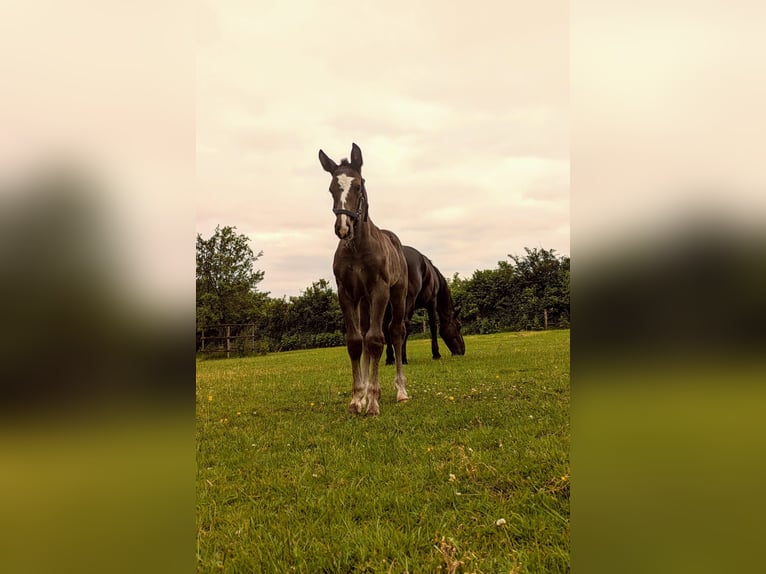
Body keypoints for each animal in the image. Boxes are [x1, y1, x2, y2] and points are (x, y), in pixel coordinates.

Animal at [320, 142, 414, 416]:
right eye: (331, 188)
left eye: (359, 186)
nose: (343, 228)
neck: (357, 249)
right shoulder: (346, 292)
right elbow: (355, 341)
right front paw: (357, 399)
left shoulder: (379, 290)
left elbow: (375, 340)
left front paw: (373, 401)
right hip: (363, 300)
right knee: (363, 333)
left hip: (397, 294)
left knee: (395, 331)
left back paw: (401, 391)